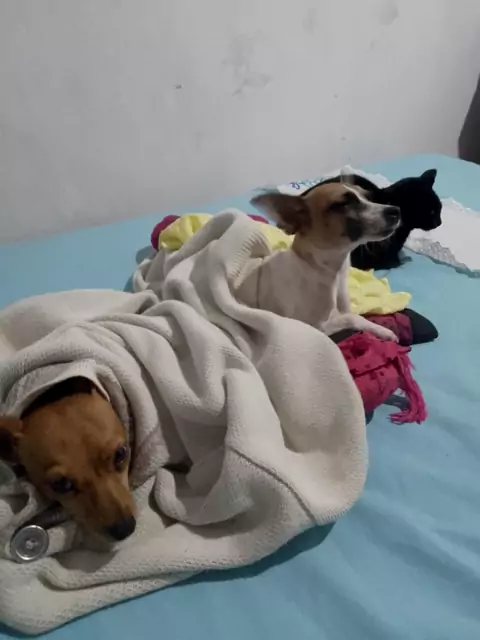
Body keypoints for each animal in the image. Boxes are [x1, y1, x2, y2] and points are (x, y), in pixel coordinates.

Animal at [237, 180, 400, 340]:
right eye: (343, 204)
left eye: (368, 196)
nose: (396, 210)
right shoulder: (311, 327)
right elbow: (352, 317)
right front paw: (382, 330)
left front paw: (379, 329)